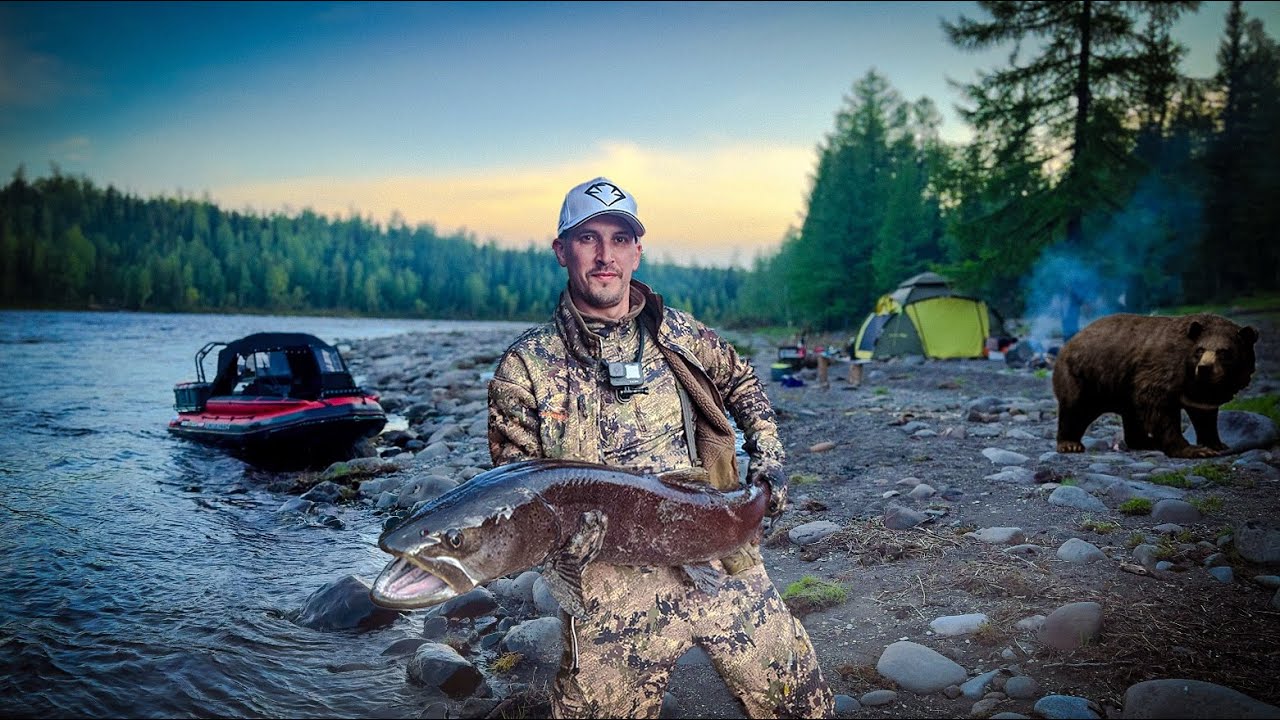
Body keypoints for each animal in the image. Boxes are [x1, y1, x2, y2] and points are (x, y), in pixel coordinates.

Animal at [1052, 312, 1258, 459]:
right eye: (1200, 350)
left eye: (1224, 352)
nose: (1204, 368)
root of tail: (1070, 341)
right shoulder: (1161, 372)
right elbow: (1158, 407)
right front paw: (1192, 449)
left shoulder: (1199, 393)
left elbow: (1205, 415)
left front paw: (1217, 444)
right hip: (1086, 377)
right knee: (1075, 408)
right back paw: (1070, 443)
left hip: (1122, 390)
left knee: (1132, 416)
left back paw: (1145, 441)